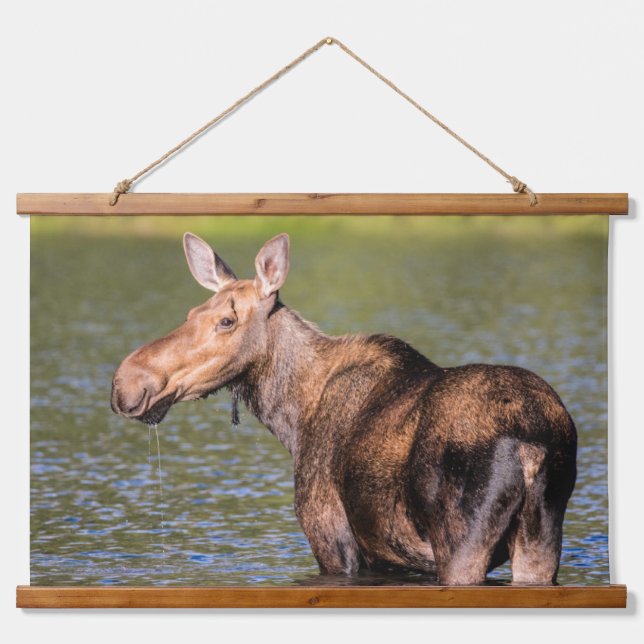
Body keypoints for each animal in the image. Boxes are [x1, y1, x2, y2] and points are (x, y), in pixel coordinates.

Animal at [111, 232, 577, 585]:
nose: (126, 382)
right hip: (541, 539)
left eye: (226, 321)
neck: (291, 418)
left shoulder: (332, 540)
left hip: (461, 544)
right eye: (191, 312)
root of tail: (532, 446)